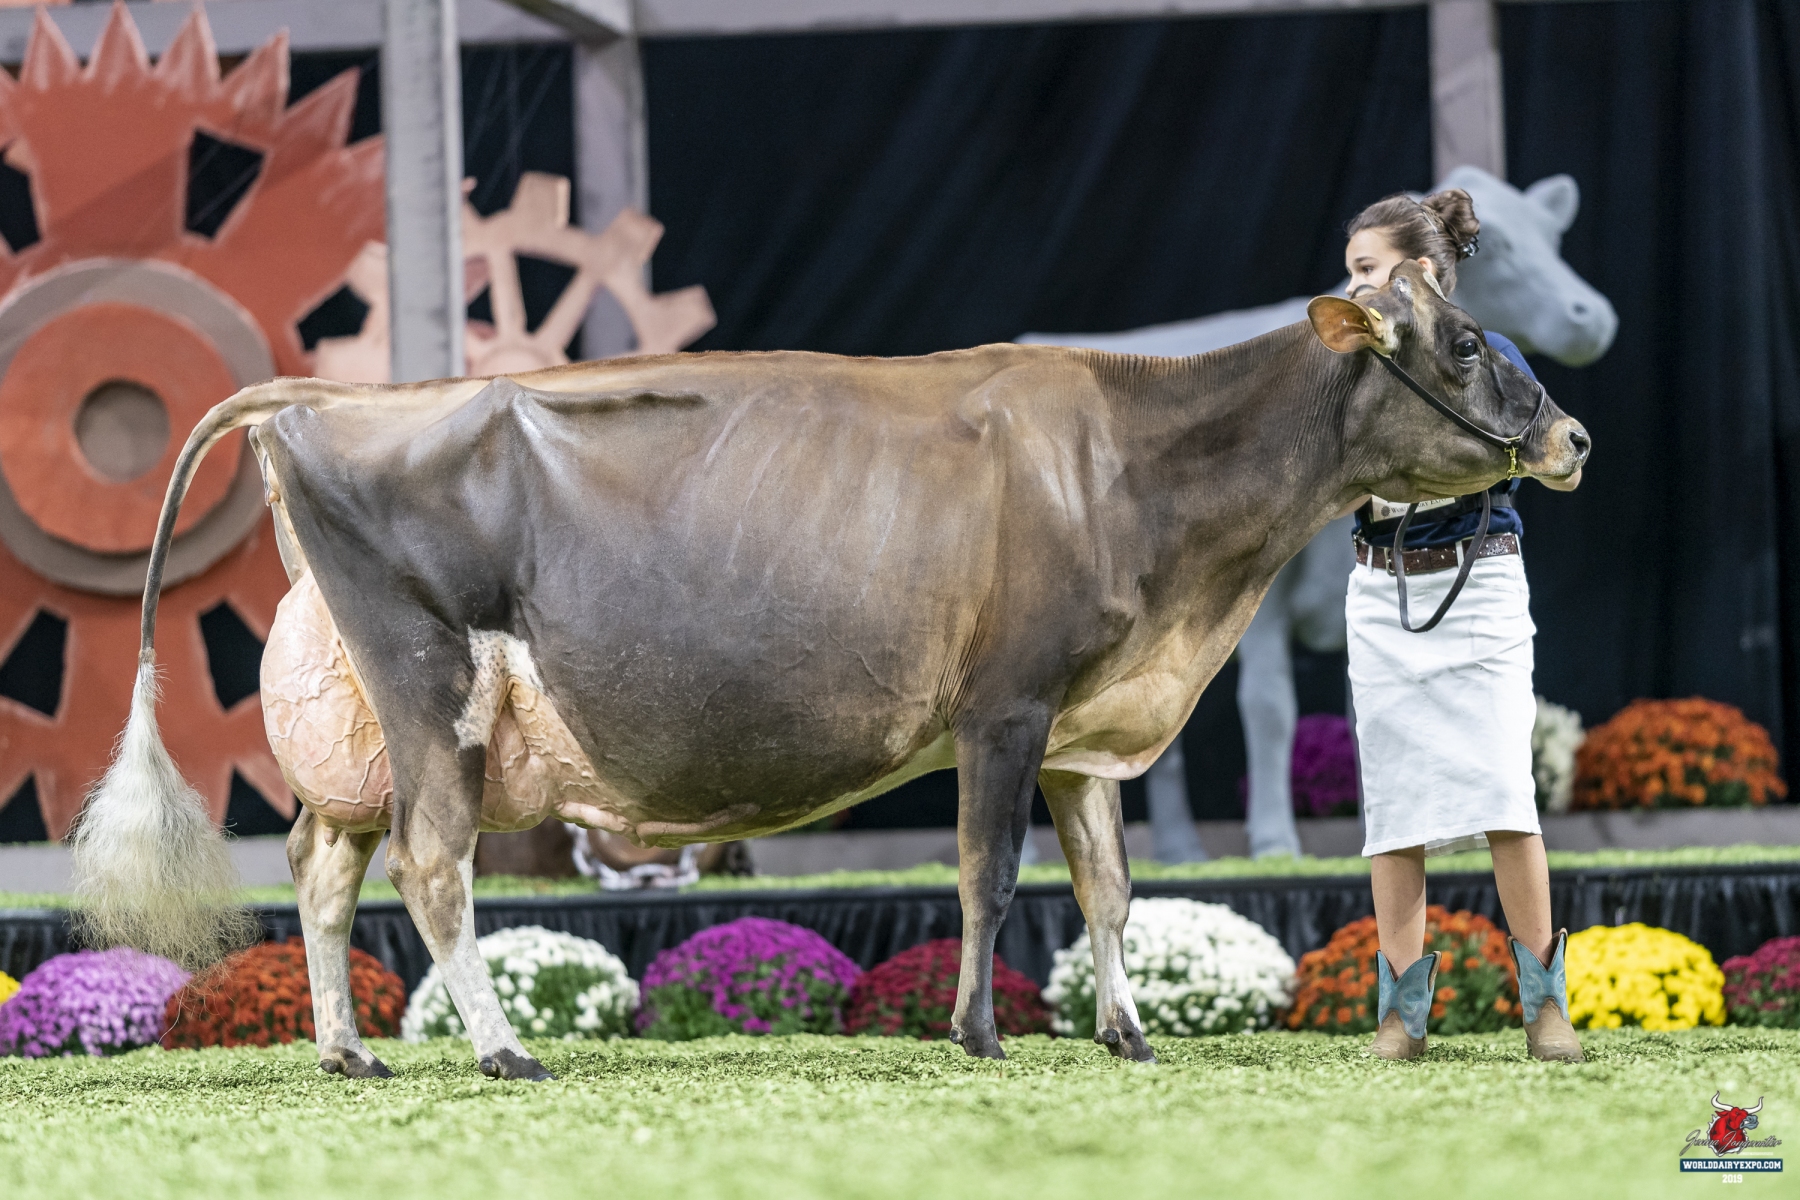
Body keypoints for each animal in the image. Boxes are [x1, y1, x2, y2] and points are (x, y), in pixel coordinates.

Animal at [71, 262, 1588, 1081]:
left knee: (321, 871)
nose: (1572, 437)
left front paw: (1127, 1031)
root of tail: (328, 398)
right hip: (429, 685)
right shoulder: (1006, 706)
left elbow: (1108, 888)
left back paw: (347, 1047)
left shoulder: (1088, 725)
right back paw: (500, 1046)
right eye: (1464, 342)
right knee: (432, 870)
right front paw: (978, 1032)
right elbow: (989, 878)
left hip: (360, 732)